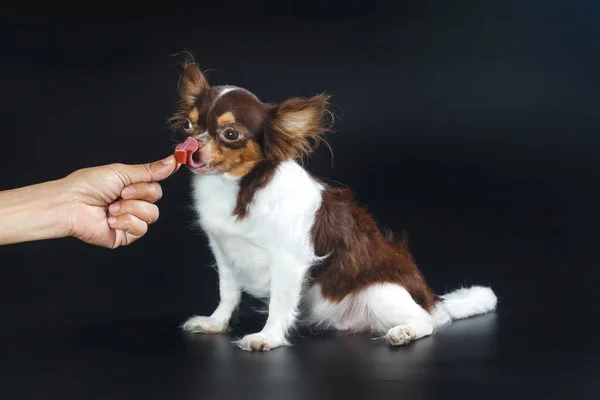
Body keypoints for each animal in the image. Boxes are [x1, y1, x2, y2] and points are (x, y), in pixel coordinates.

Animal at [169, 55, 496, 350]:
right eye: (188, 125)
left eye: (230, 134)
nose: (191, 145)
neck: (236, 188)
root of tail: (432, 299)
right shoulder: (225, 255)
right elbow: (228, 294)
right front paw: (215, 323)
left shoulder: (288, 263)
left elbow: (279, 304)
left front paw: (268, 337)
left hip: (380, 291)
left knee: (427, 322)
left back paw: (405, 332)